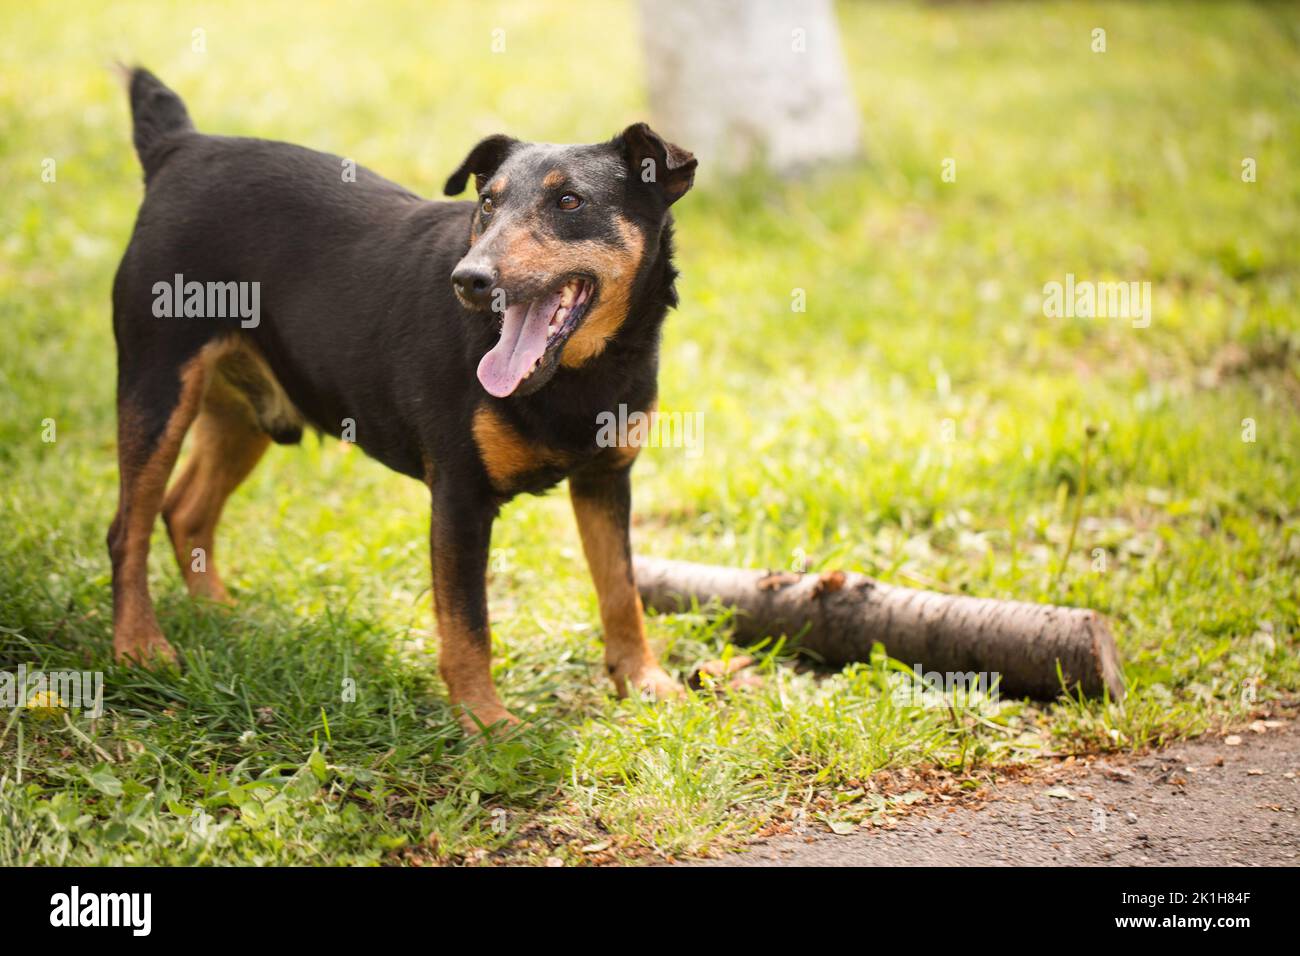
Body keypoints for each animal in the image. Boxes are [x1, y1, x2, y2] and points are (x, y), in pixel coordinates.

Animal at [111, 67, 696, 733]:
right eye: (487, 202)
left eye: (570, 202)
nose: (470, 280)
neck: (577, 374)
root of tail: (179, 146)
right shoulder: (461, 496)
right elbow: (468, 623)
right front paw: (486, 722)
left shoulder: (606, 479)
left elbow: (621, 589)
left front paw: (645, 681)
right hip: (158, 389)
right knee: (126, 529)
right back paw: (139, 646)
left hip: (242, 414)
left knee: (185, 510)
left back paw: (218, 613)